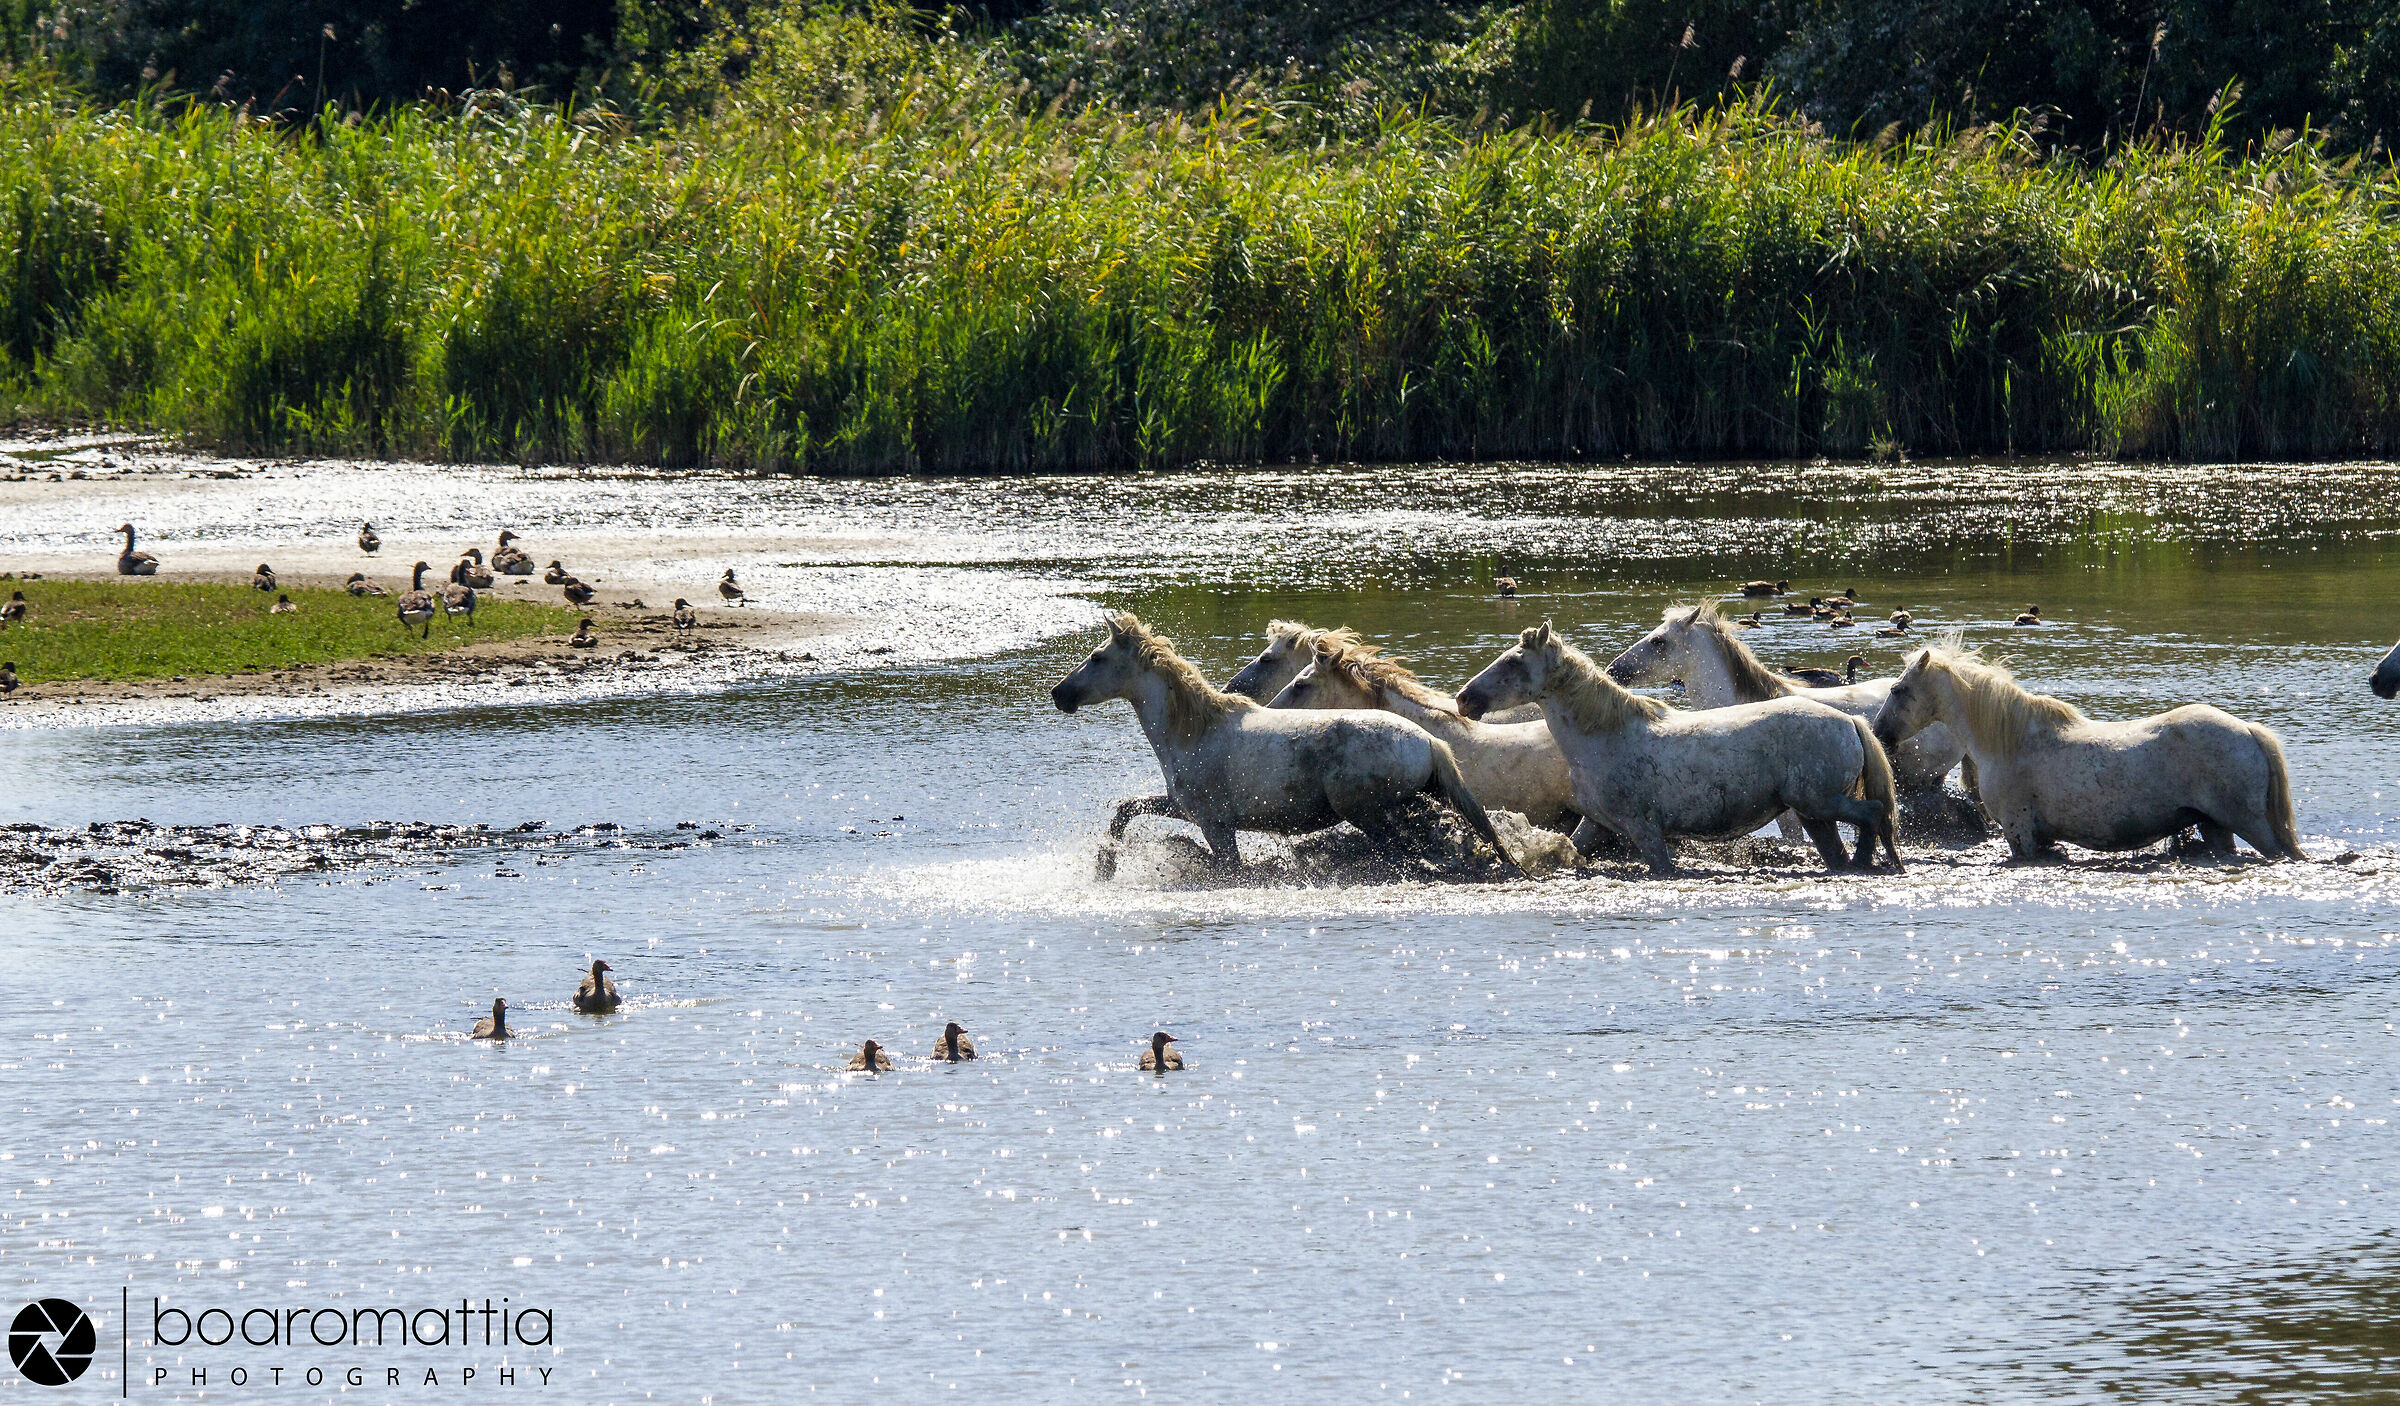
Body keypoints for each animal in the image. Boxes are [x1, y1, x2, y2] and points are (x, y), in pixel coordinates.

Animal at [1053, 614, 1520, 878]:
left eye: (1097, 657)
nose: (1060, 694)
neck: (1194, 733)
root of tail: (1430, 742)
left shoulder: (1214, 825)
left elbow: (1226, 867)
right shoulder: (1184, 808)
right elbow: (1126, 809)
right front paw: (1105, 865)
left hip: (1370, 813)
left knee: (1413, 851)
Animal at [1458, 622, 1902, 875]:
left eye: (1513, 663)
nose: (1464, 699)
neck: (1606, 736)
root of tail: (1851, 723)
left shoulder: (1646, 832)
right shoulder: (1597, 824)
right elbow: (1567, 849)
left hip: (1820, 803)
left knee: (1873, 813)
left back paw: (1872, 863)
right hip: (1813, 814)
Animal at [1872, 642, 2305, 863]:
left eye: (1898, 690)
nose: (1878, 734)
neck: (2010, 742)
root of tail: (2248, 731)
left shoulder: (2020, 835)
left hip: (2250, 824)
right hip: (2215, 826)